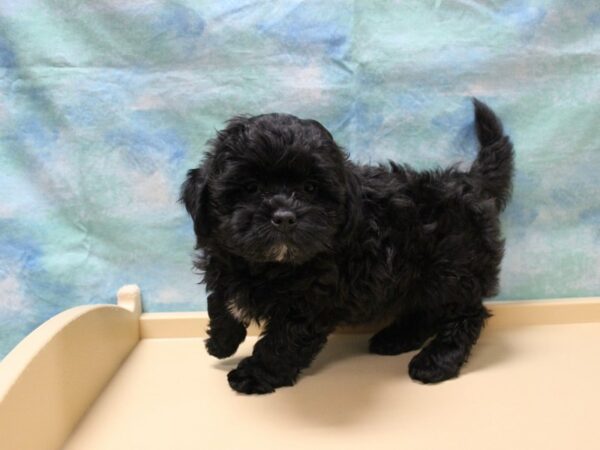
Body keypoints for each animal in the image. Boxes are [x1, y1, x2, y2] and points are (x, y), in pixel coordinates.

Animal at [180, 99, 512, 394]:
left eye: (310, 188)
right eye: (250, 187)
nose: (284, 217)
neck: (270, 265)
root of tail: (469, 183)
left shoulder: (311, 302)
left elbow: (282, 342)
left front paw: (254, 374)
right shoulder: (225, 257)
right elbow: (219, 297)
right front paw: (221, 341)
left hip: (453, 269)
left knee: (465, 314)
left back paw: (436, 362)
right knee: (426, 309)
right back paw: (395, 338)